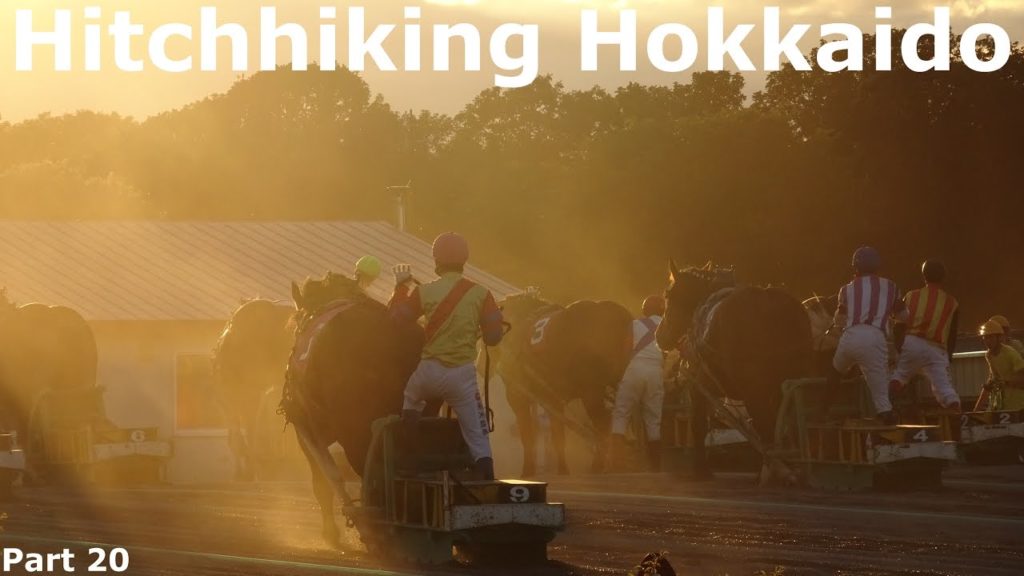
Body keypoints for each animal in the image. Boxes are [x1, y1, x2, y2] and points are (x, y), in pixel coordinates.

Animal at [494, 292, 633, 476]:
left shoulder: (517, 396)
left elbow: (528, 434)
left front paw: (528, 470)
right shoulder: (551, 400)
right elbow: (557, 435)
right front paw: (562, 469)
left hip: (592, 393)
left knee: (603, 423)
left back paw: (601, 463)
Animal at [656, 262, 812, 481]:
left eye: (668, 296)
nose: (659, 335)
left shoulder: (700, 385)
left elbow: (698, 425)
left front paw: (701, 470)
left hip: (756, 391)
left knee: (765, 425)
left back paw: (771, 471)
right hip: (787, 384)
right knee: (782, 425)